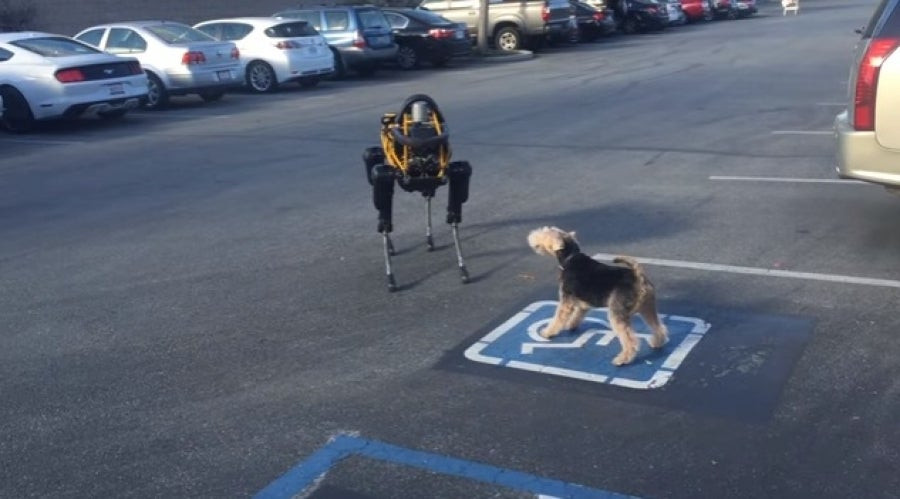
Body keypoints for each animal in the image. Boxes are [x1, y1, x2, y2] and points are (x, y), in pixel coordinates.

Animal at [362, 94, 472, 292]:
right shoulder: (388, 175)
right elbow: (385, 220)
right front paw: (390, 276)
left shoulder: (446, 173)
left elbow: (454, 217)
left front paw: (462, 266)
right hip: (379, 166)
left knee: (430, 194)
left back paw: (429, 239)